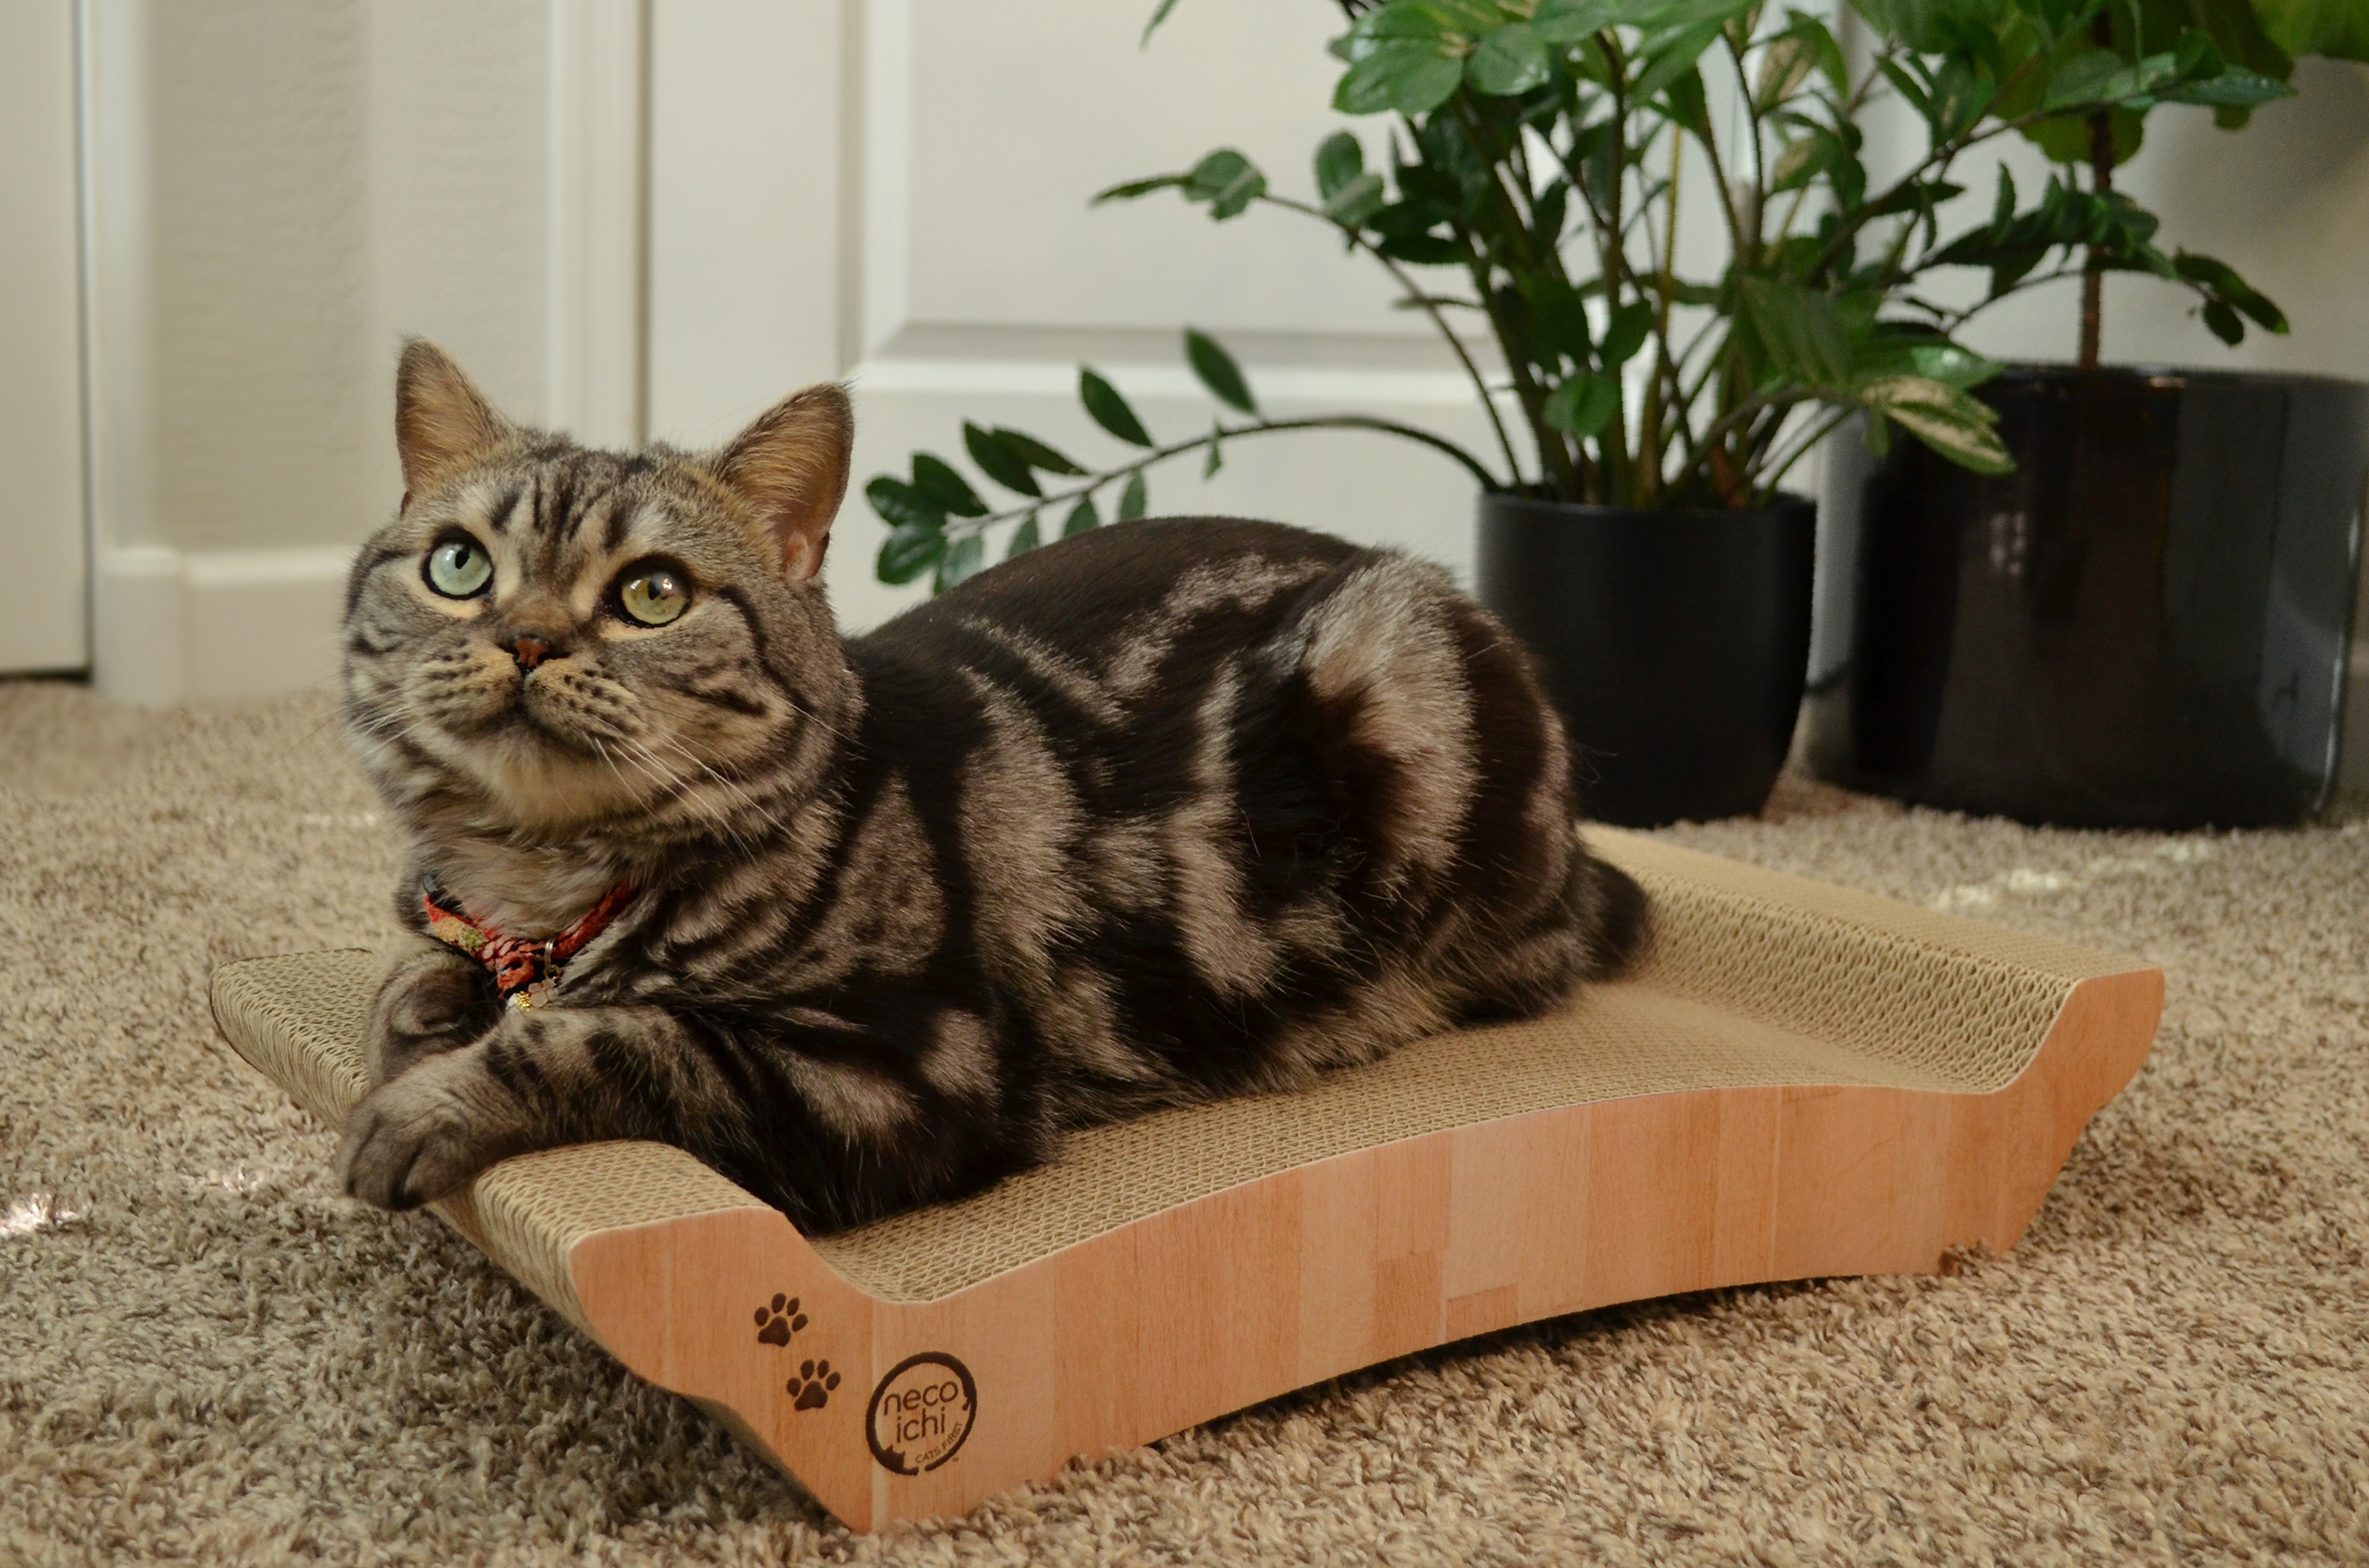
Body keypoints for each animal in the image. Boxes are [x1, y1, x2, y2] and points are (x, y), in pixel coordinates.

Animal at [338, 348, 1648, 1241]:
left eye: (651, 594)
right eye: (459, 565)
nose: (525, 639)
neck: (543, 887)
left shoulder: (909, 1071)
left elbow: (617, 1039)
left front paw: (426, 1103)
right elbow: (414, 972)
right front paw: (420, 1021)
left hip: (1397, 702)